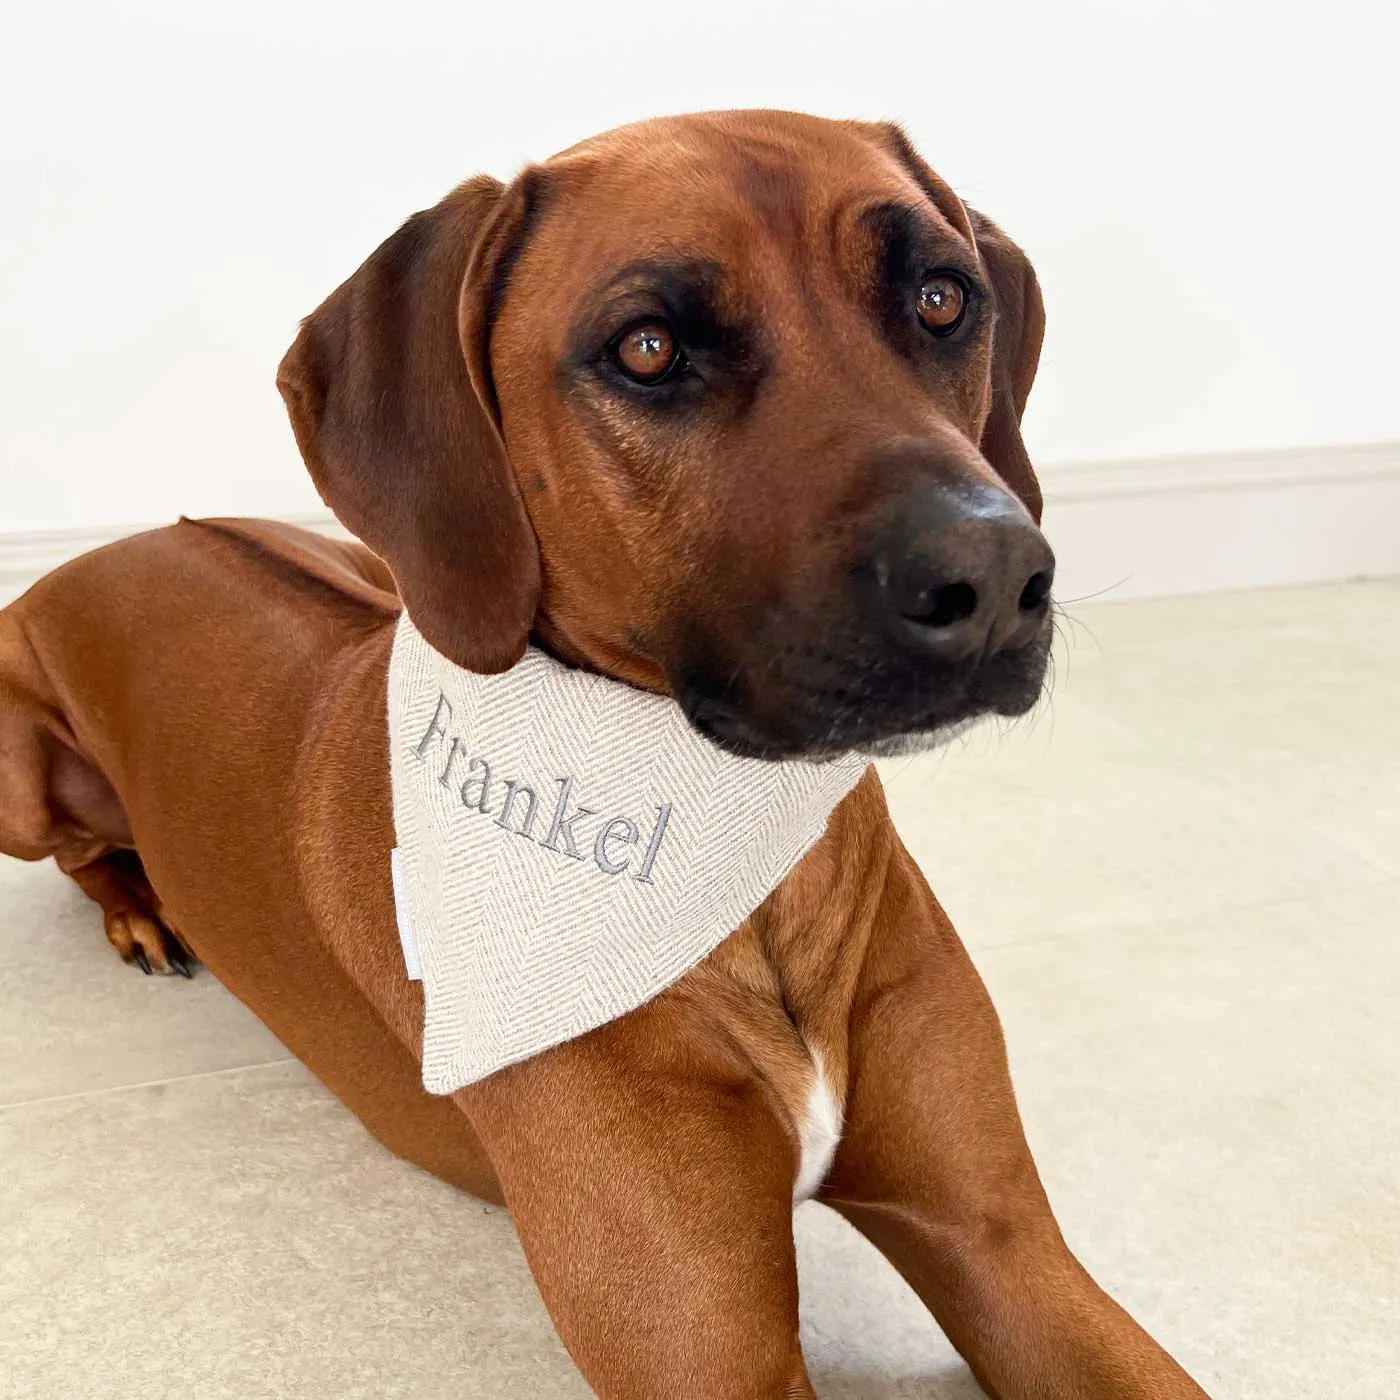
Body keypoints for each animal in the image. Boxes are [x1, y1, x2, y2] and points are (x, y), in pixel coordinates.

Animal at [0, 112, 1209, 1400]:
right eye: (647, 348)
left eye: (940, 298)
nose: (989, 576)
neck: (741, 873)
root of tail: (126, 536)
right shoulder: (708, 1354)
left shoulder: (1003, 1246)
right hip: (22, 772)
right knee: (74, 848)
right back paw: (138, 904)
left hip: (382, 572)